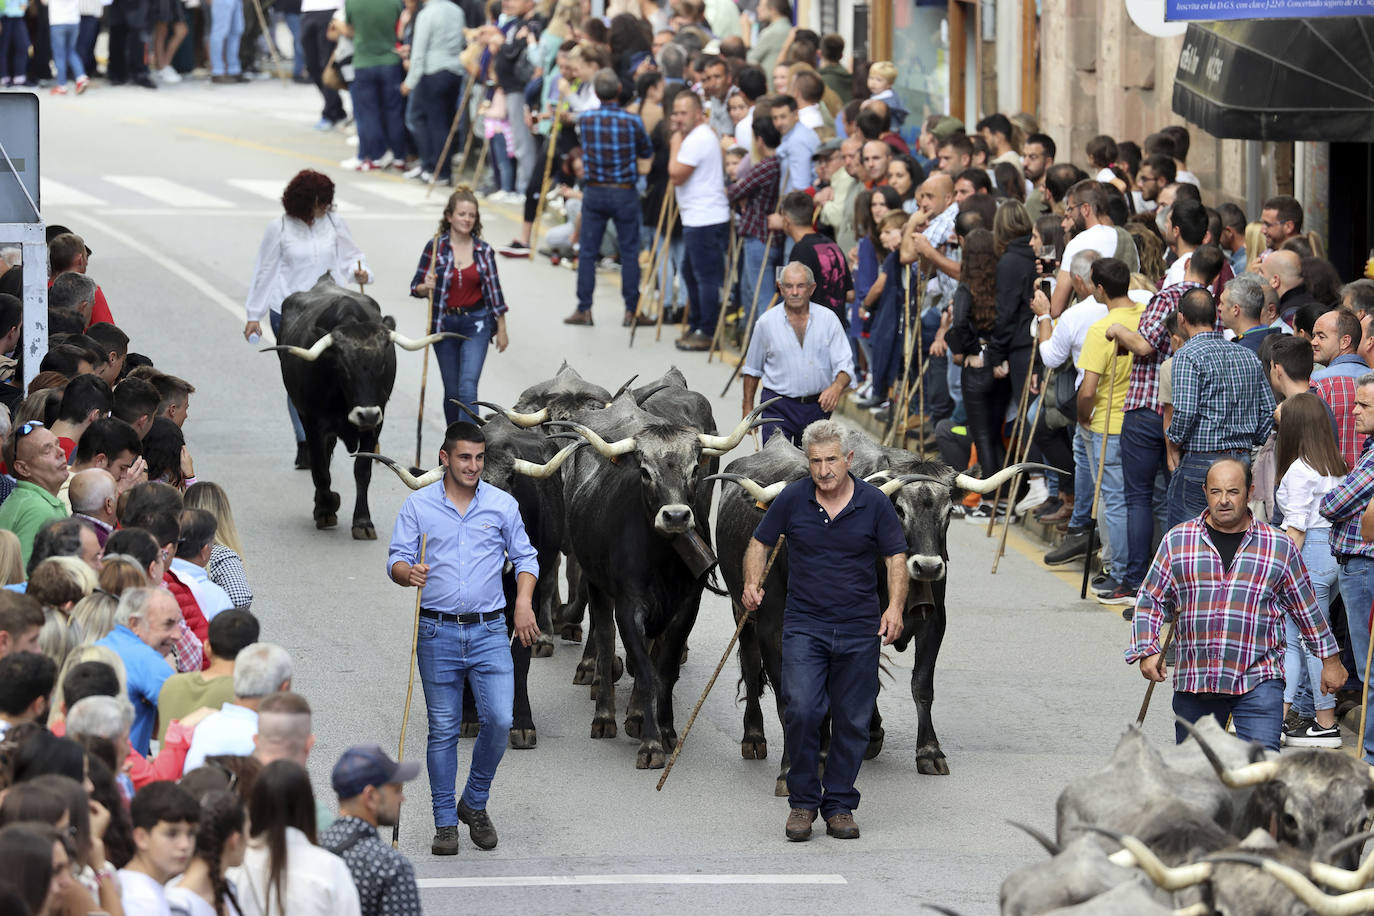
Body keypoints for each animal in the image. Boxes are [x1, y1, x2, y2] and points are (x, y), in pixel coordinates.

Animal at [267, 276, 456, 541]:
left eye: (383, 364)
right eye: (342, 367)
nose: (366, 414)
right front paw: (327, 508)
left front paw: (363, 522)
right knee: (321, 461)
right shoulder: (314, 423)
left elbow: (362, 470)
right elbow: (321, 468)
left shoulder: (375, 425)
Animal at [714, 420, 1044, 791]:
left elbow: (919, 685)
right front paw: (798, 765)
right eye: (899, 509)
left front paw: (928, 751)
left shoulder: (933, 623)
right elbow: (793, 696)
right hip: (743, 613)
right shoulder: (776, 631)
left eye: (948, 511)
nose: (928, 567)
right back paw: (756, 737)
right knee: (751, 666)